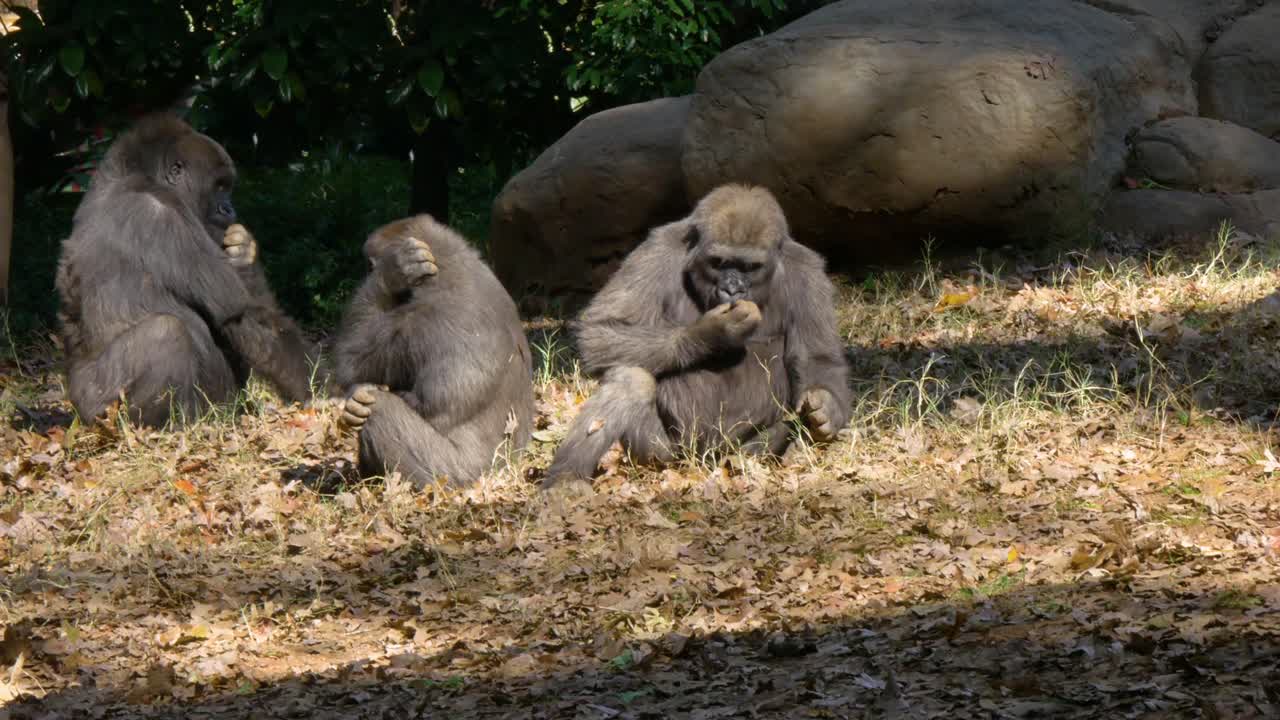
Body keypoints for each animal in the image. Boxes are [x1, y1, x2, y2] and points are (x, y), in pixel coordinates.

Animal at [55, 114, 315, 427]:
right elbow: (239, 311)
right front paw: (323, 389)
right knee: (166, 333)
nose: (229, 209)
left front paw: (244, 253)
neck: (138, 173)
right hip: (94, 406)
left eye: (227, 187)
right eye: (219, 187)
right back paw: (159, 427)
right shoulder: (163, 215)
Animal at [333, 215, 535, 488]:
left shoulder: (416, 323)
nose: (366, 272)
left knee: (381, 410)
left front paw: (391, 273)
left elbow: (350, 365)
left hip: (455, 479)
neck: (452, 265)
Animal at [544, 184, 851, 487]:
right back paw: (566, 478)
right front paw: (713, 332)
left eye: (750, 267)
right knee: (631, 379)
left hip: (739, 452)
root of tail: (705, 461)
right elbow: (602, 329)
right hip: (666, 455)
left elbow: (818, 359)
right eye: (718, 262)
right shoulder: (659, 249)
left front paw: (826, 408)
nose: (732, 289)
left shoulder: (807, 270)